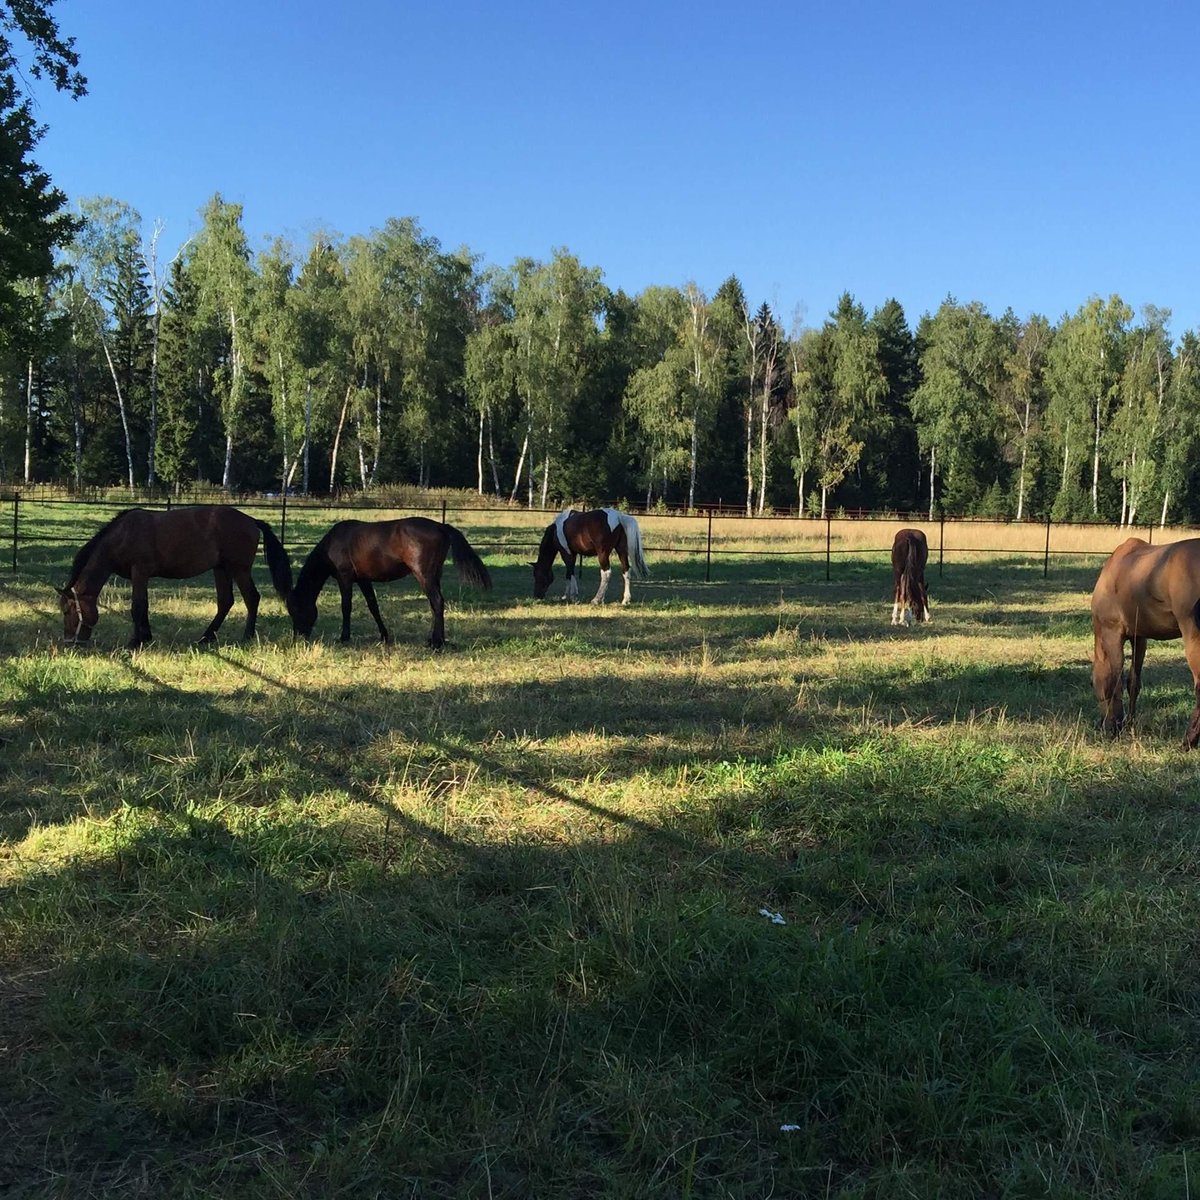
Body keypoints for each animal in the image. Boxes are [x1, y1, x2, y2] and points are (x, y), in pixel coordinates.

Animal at [59, 511, 294, 652]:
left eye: (68, 611)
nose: (70, 642)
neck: (123, 535)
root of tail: (252, 521)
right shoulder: (142, 576)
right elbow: (144, 606)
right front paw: (146, 636)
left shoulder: (139, 573)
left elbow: (137, 606)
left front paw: (135, 641)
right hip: (221, 569)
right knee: (225, 602)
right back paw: (206, 638)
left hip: (239, 570)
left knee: (252, 598)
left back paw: (247, 637)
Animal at [289, 516, 492, 648]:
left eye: (296, 610)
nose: (298, 637)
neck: (334, 543)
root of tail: (440, 526)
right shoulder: (363, 580)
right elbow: (373, 606)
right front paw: (384, 636)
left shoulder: (345, 578)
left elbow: (346, 606)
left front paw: (344, 637)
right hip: (434, 575)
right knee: (435, 605)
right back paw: (433, 640)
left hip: (424, 575)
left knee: (437, 602)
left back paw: (436, 643)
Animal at [1094, 537, 1200, 748]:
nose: (1103, 724)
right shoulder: (1139, 637)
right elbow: (1133, 682)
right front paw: (1129, 723)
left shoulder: (1112, 634)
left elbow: (1114, 681)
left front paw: (1115, 727)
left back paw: (1188, 741)